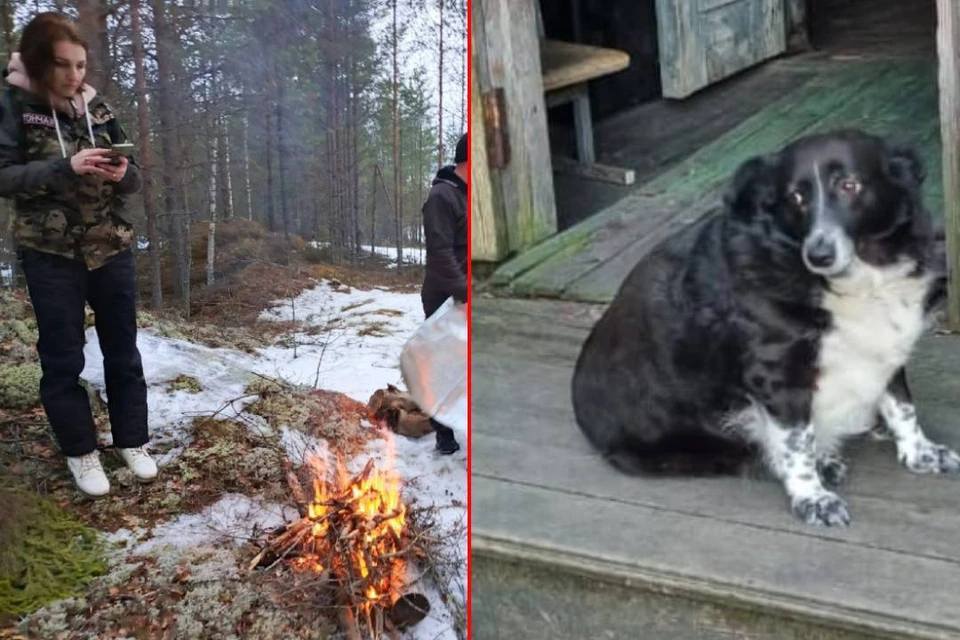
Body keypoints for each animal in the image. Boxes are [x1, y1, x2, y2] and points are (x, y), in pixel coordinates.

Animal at [568, 130, 952, 524]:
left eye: (849, 185)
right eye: (795, 198)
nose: (818, 255)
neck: (860, 276)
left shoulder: (884, 344)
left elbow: (902, 405)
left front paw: (921, 452)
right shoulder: (778, 372)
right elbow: (796, 442)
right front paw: (812, 496)